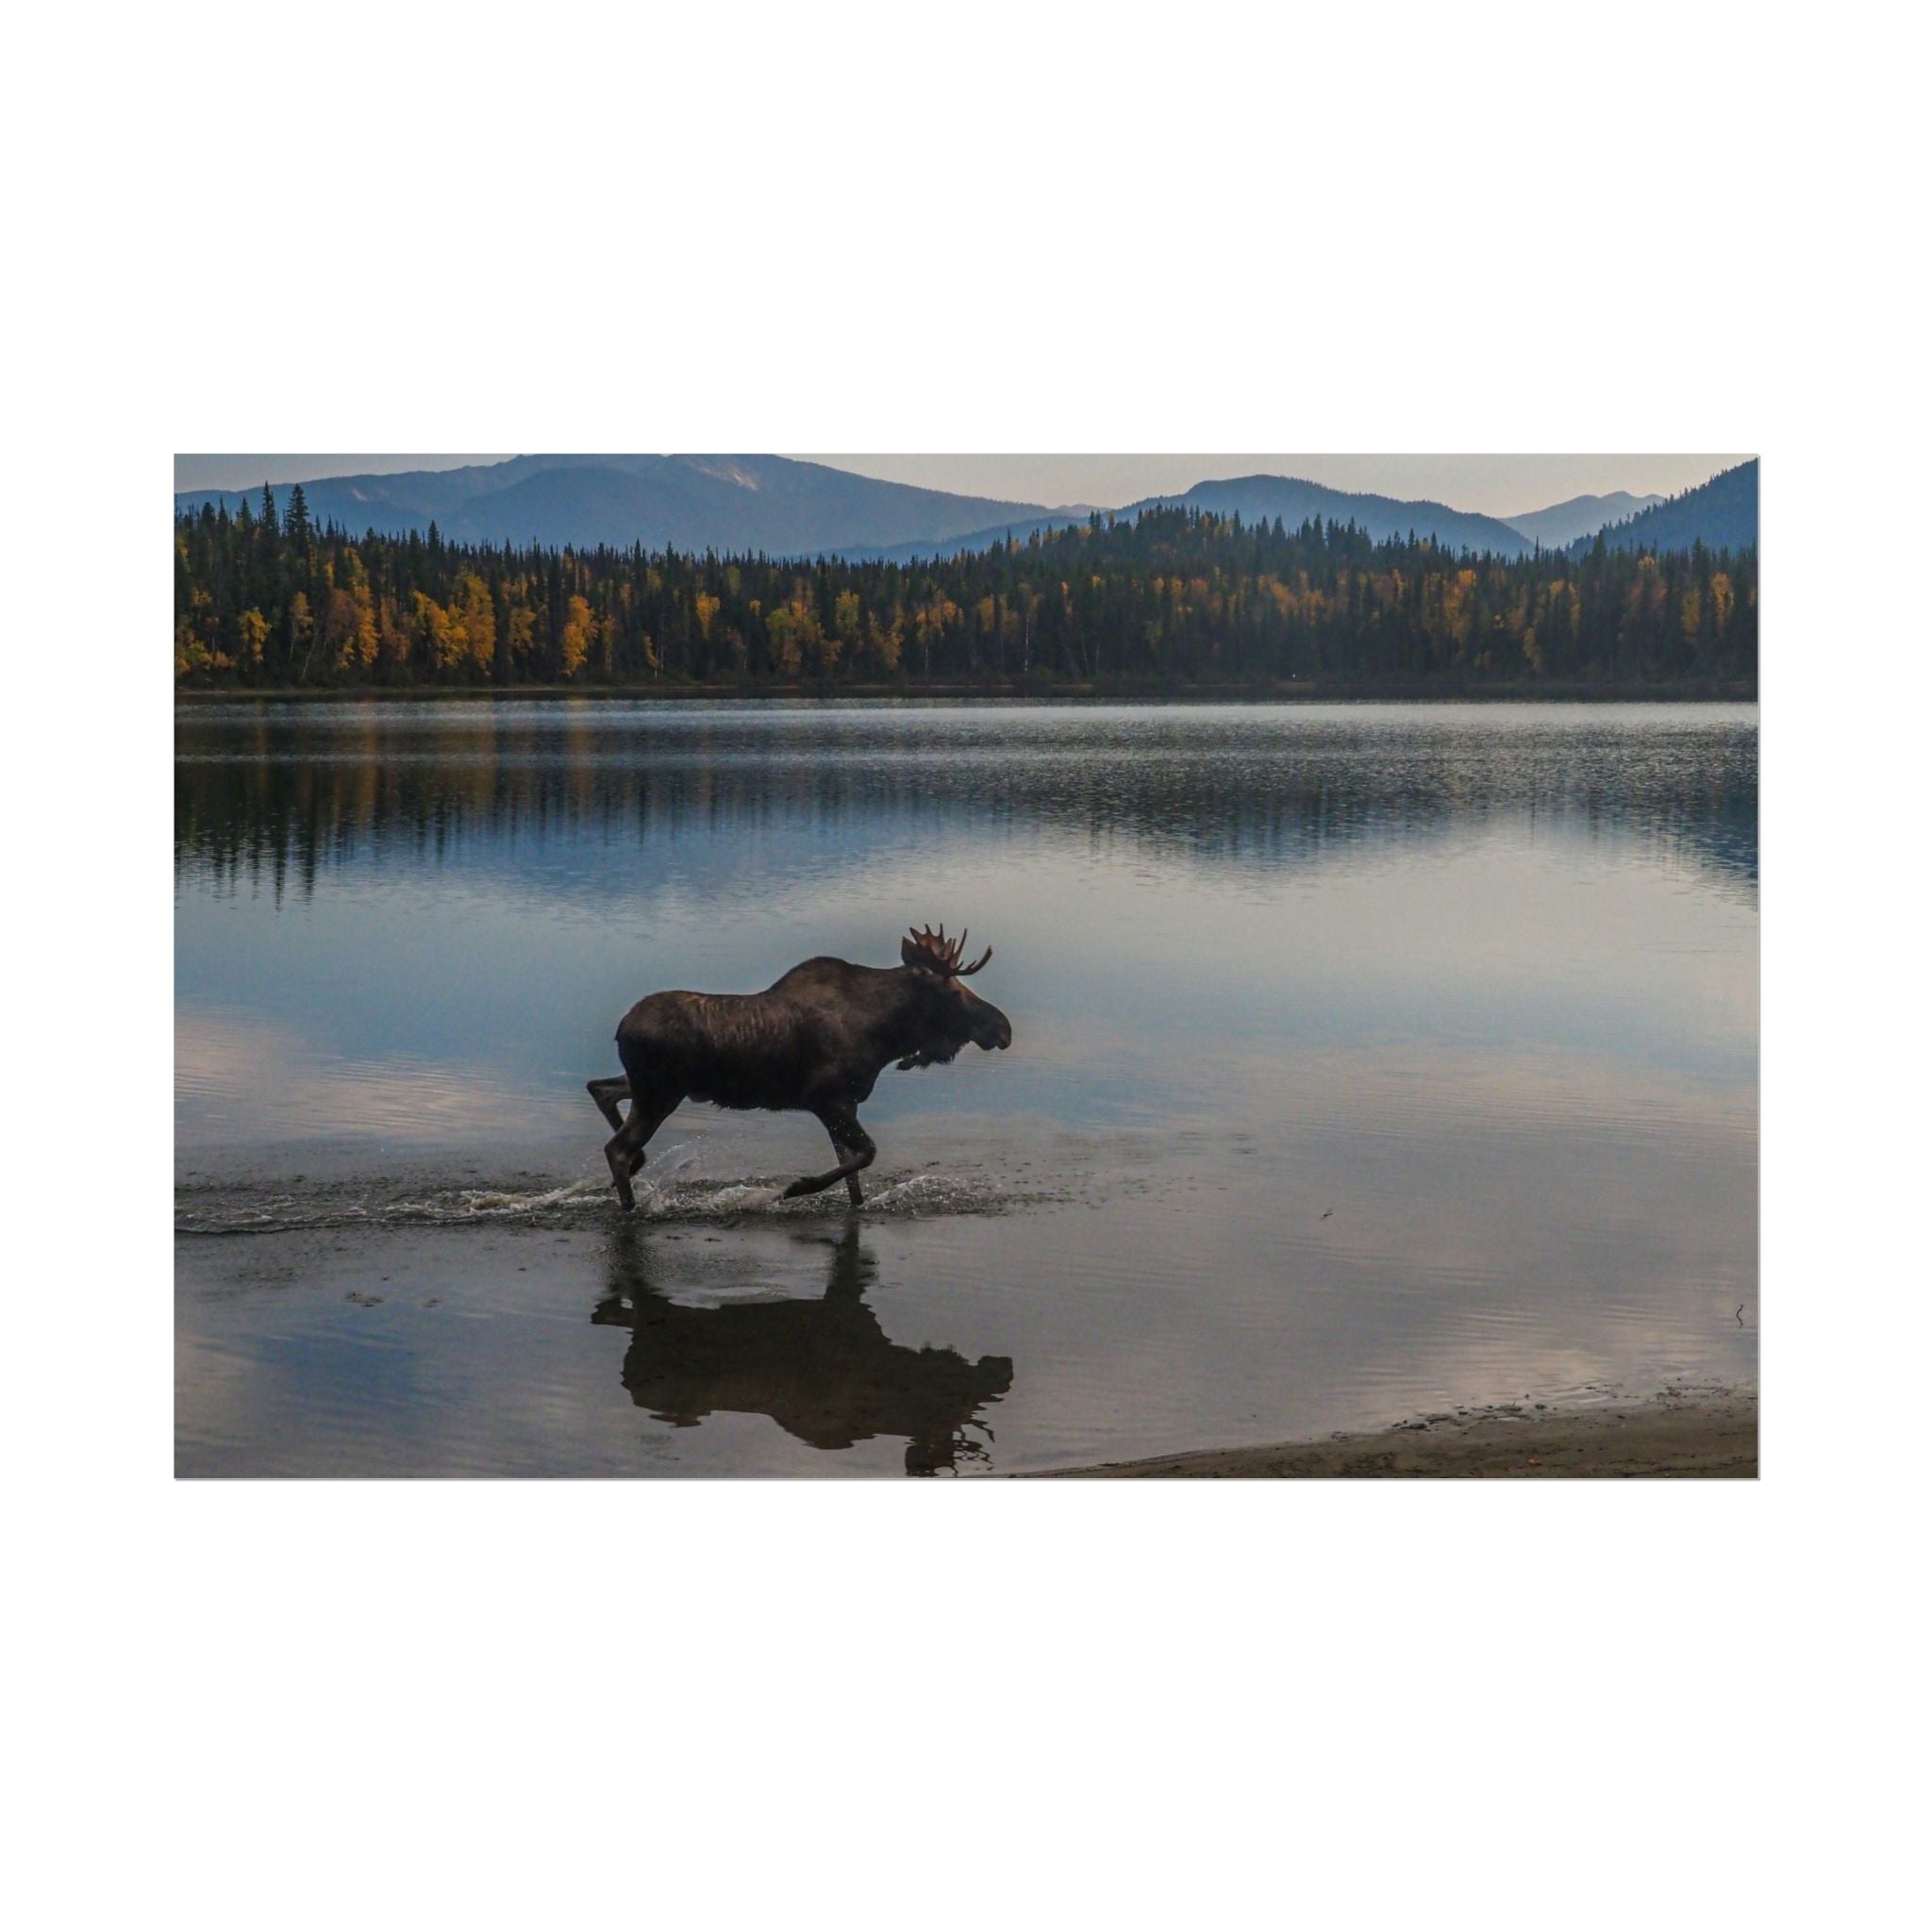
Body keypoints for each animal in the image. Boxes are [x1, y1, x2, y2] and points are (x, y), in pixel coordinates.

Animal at [588, 924, 1013, 1213]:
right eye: (952, 991)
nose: (1003, 1028)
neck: (884, 1036)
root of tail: (620, 1029)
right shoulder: (826, 1099)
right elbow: (867, 1154)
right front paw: (795, 1188)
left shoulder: (847, 1103)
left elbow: (853, 1174)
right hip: (658, 1093)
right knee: (617, 1148)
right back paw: (630, 1205)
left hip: (653, 1088)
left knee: (600, 1088)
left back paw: (638, 1168)